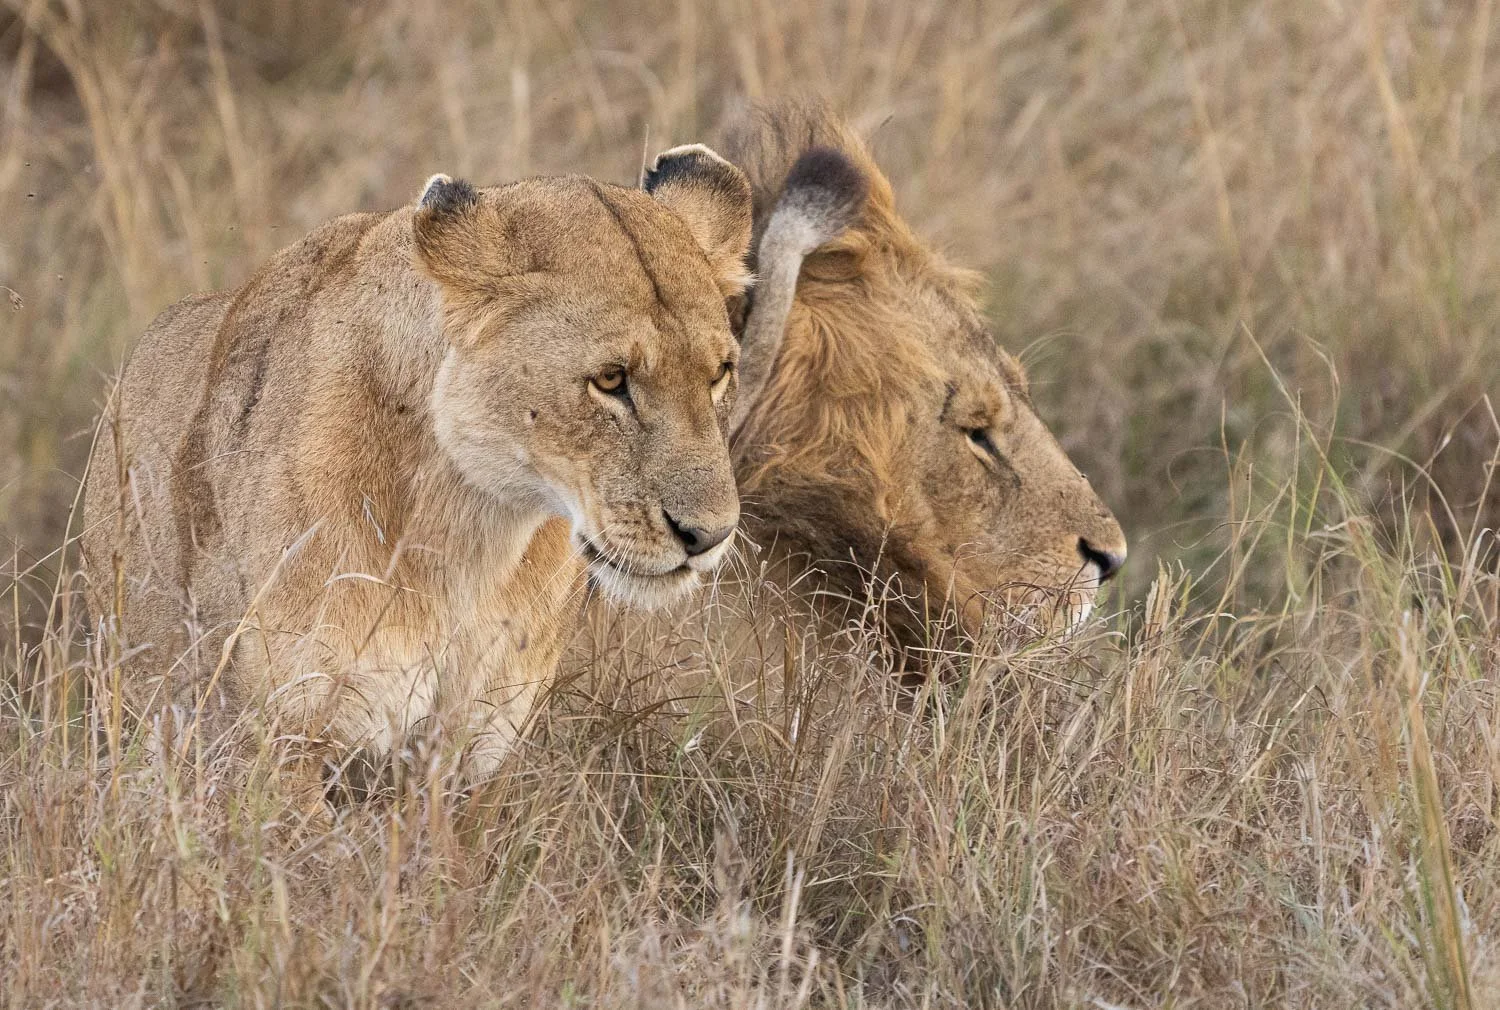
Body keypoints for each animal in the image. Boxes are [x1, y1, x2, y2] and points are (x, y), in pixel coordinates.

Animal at [81, 144, 754, 780]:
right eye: (610, 380)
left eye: (719, 373)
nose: (708, 536)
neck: (472, 535)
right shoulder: (277, 740)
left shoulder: (471, 745)